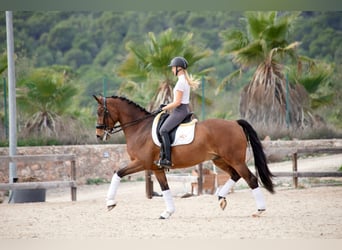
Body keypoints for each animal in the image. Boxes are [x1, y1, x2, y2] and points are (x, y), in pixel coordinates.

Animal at [93, 95, 276, 219]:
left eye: (101, 111)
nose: (98, 135)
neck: (140, 128)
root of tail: (234, 123)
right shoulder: (155, 167)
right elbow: (165, 188)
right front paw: (167, 213)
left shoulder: (142, 163)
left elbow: (118, 173)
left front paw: (110, 203)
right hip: (219, 160)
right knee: (235, 175)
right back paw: (221, 198)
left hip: (235, 160)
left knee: (250, 179)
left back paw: (259, 210)